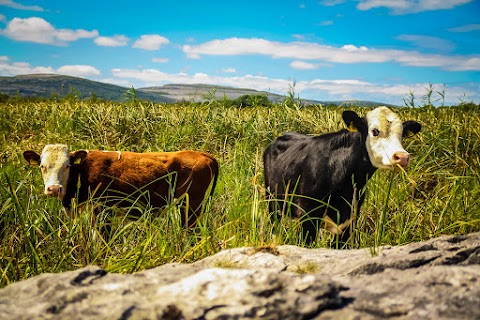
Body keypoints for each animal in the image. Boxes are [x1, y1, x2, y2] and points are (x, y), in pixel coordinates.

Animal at [22, 144, 218, 226]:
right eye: (42, 166)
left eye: (67, 166)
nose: (54, 189)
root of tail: (204, 155)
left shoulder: (102, 211)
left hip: (191, 207)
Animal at [262, 107, 420, 245]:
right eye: (375, 131)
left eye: (401, 134)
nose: (402, 157)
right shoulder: (308, 218)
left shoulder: (349, 222)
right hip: (272, 203)